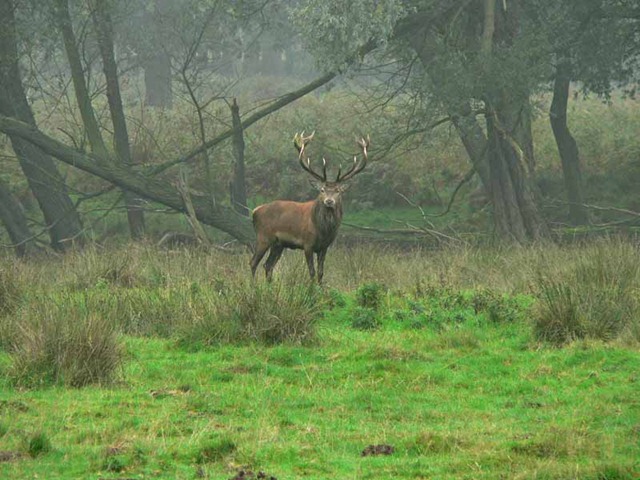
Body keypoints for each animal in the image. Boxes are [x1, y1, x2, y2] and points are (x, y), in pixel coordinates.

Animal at [250, 132, 369, 283]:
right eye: (322, 190)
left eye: (338, 191)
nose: (329, 201)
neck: (324, 230)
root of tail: (255, 211)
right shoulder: (307, 244)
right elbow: (311, 272)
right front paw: (310, 288)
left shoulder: (324, 247)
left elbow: (321, 272)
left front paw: (320, 287)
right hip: (263, 237)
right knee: (253, 262)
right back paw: (253, 285)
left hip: (278, 244)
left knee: (268, 265)